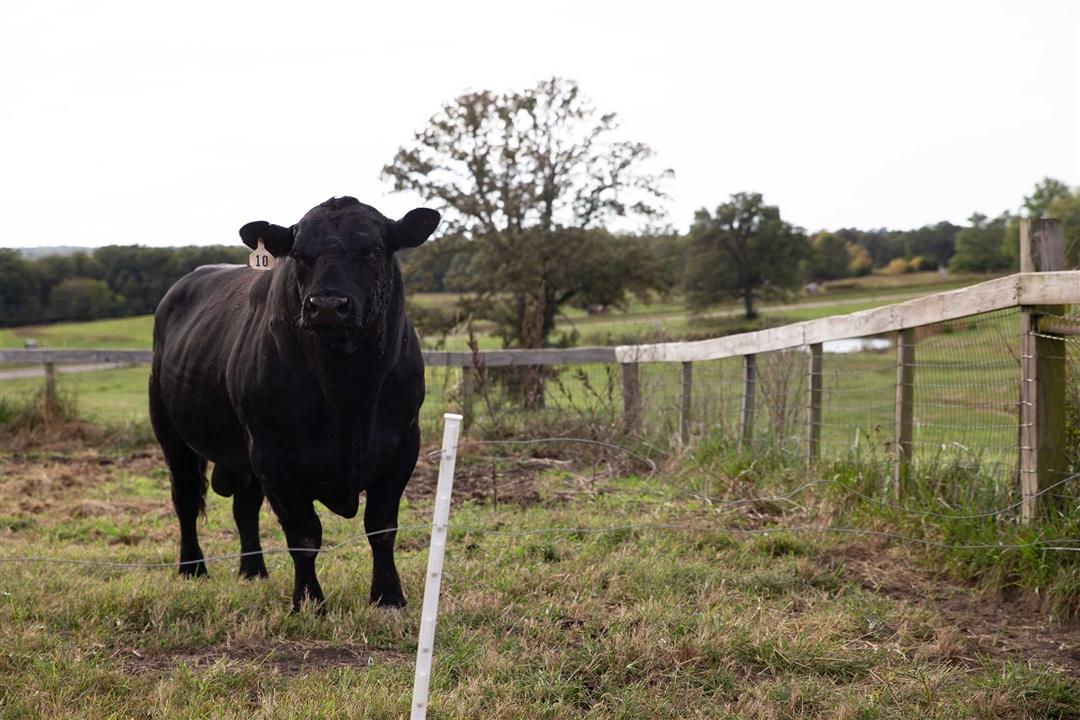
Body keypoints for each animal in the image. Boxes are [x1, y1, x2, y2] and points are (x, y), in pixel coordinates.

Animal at [148, 196, 440, 611]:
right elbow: (303, 535)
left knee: (243, 506)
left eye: (373, 250)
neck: (349, 394)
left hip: (242, 452)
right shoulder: (274, 454)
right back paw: (193, 569)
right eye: (300, 254)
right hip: (172, 433)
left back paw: (253, 570)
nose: (328, 305)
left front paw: (388, 596)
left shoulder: (403, 444)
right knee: (186, 499)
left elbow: (381, 528)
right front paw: (309, 601)